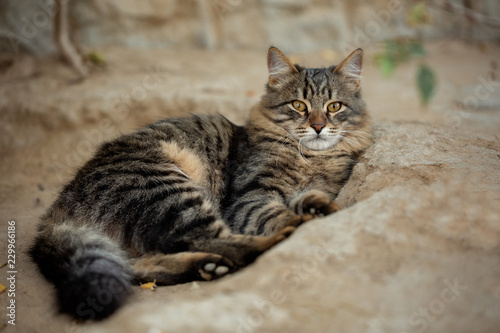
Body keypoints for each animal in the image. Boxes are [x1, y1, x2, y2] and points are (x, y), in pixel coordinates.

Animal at [27, 46, 372, 320]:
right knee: (220, 242)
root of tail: (58, 210)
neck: (309, 158)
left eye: (334, 107)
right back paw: (273, 240)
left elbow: (308, 198)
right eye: (298, 105)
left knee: (141, 264)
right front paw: (300, 219)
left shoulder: (319, 186)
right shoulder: (250, 196)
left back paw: (207, 267)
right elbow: (274, 213)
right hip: (170, 191)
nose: (318, 127)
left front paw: (317, 207)